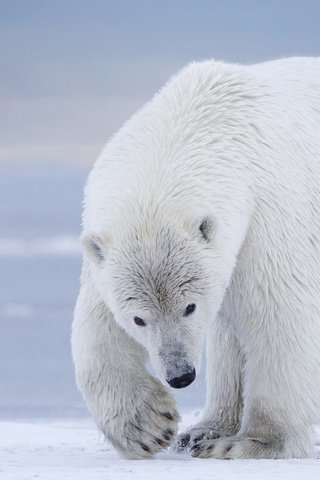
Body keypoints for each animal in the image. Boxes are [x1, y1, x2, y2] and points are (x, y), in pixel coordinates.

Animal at [71, 58, 320, 460]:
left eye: (189, 307)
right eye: (139, 319)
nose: (181, 375)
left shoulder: (267, 217)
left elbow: (281, 314)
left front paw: (254, 442)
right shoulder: (104, 249)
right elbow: (98, 326)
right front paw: (149, 426)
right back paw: (202, 431)